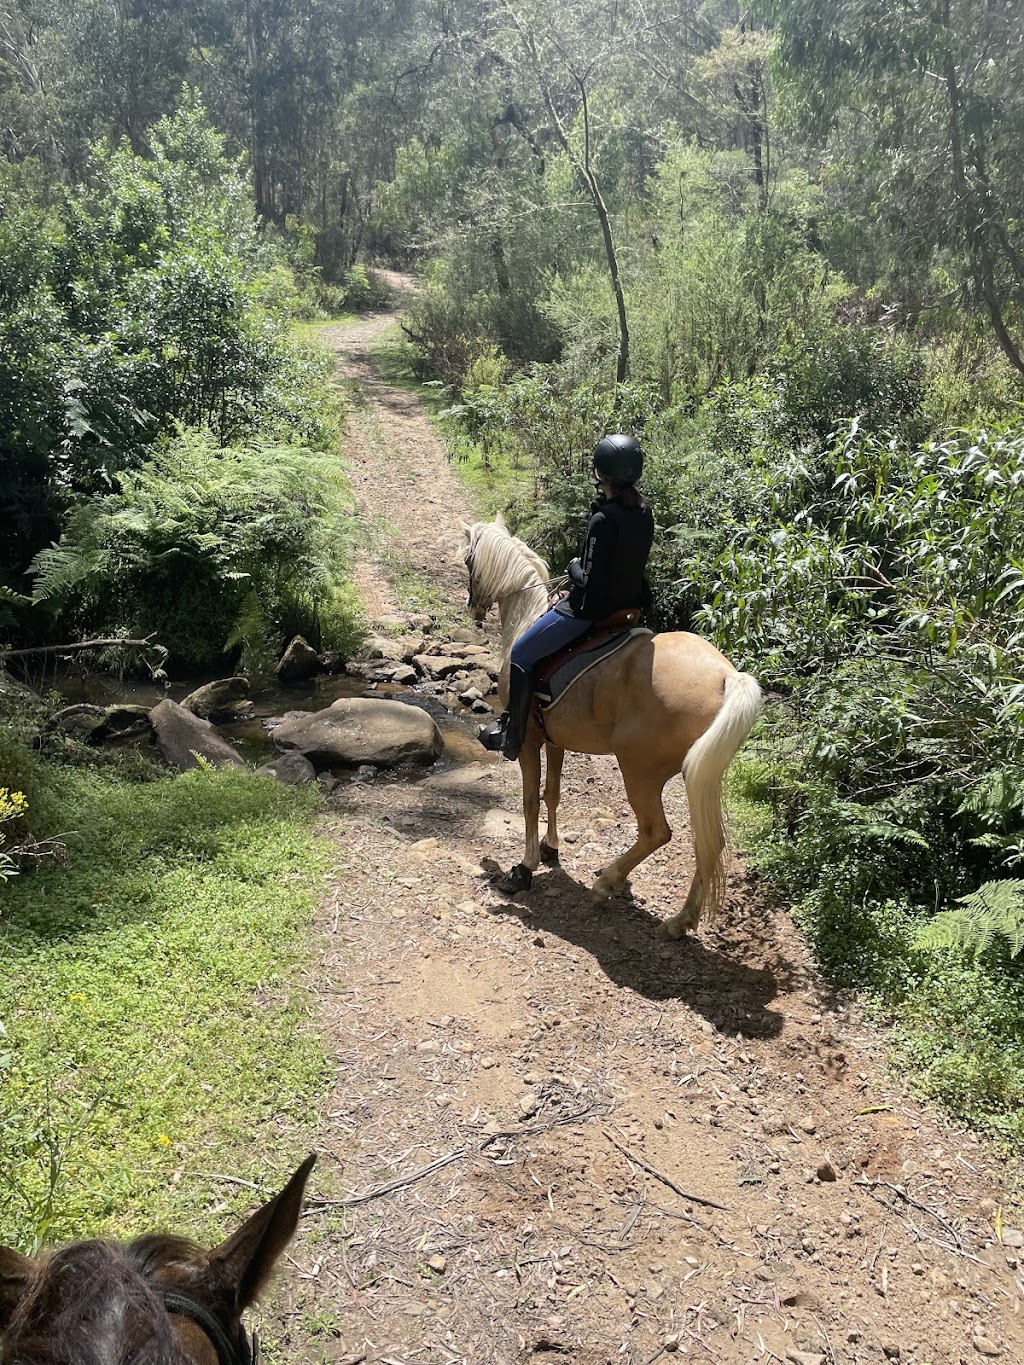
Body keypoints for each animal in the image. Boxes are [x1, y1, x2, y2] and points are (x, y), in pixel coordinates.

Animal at [460, 514, 763, 937]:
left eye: (468, 561)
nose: (472, 608)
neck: (527, 615)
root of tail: (726, 676)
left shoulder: (529, 741)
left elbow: (530, 800)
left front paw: (524, 868)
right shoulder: (555, 740)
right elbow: (553, 794)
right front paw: (551, 848)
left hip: (640, 772)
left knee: (657, 831)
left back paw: (606, 883)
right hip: (702, 775)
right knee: (709, 842)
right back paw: (680, 921)